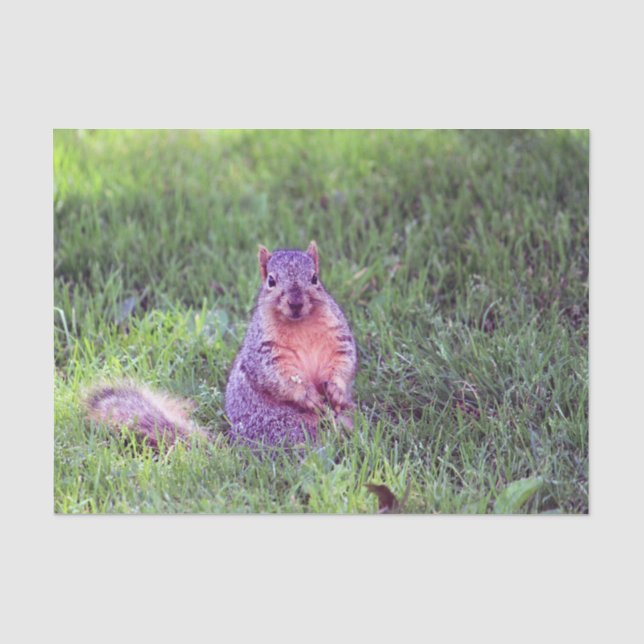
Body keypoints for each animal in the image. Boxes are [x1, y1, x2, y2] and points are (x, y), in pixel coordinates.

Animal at [85, 241, 358, 448]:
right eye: (271, 281)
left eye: (314, 278)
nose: (296, 303)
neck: (300, 325)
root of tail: (237, 447)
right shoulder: (265, 350)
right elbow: (278, 376)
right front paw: (308, 396)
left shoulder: (337, 337)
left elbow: (344, 360)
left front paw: (336, 390)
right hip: (287, 426)